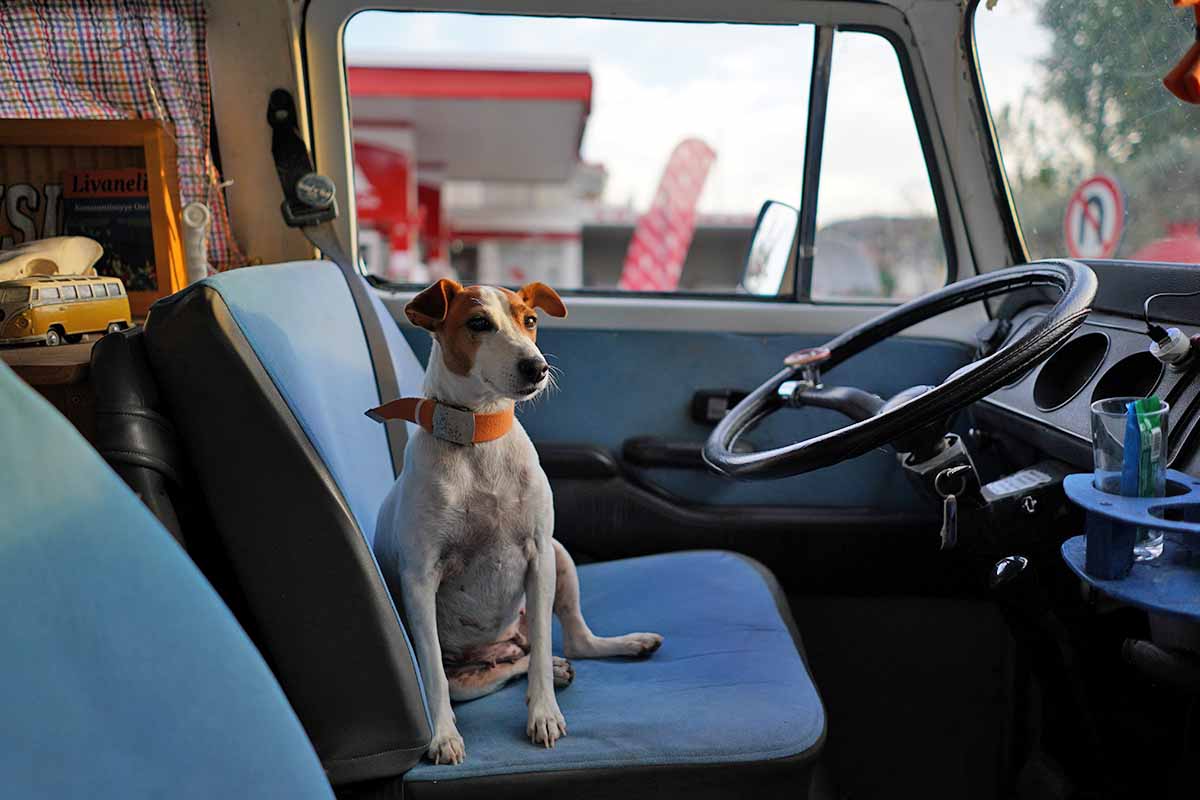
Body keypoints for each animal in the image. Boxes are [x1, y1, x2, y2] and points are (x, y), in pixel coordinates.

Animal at [369, 280, 662, 762]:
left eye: (530, 320)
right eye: (478, 323)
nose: (537, 367)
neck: (480, 436)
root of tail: (502, 645)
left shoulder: (538, 557)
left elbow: (543, 645)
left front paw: (543, 712)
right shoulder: (420, 579)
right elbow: (431, 673)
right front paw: (442, 735)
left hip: (560, 558)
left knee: (569, 642)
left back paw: (618, 647)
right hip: (470, 673)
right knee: (496, 670)